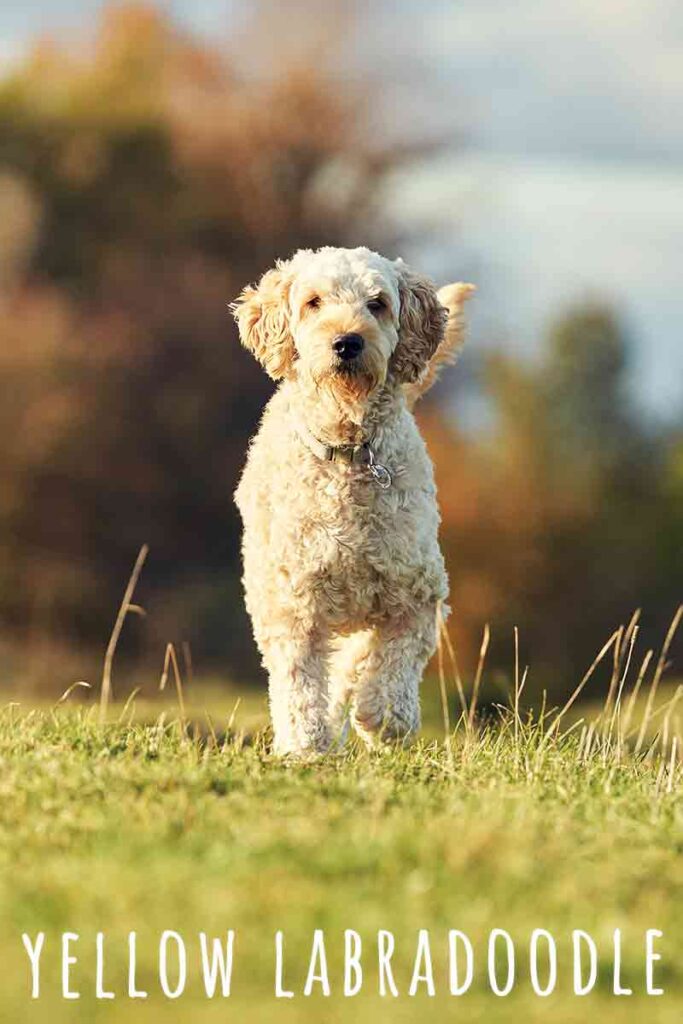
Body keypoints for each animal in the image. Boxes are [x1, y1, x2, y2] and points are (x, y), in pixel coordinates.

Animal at [232, 248, 473, 757]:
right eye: (313, 302)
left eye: (377, 303)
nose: (347, 342)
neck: (349, 449)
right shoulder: (293, 602)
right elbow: (300, 680)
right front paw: (305, 744)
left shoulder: (416, 594)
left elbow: (388, 664)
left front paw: (382, 719)